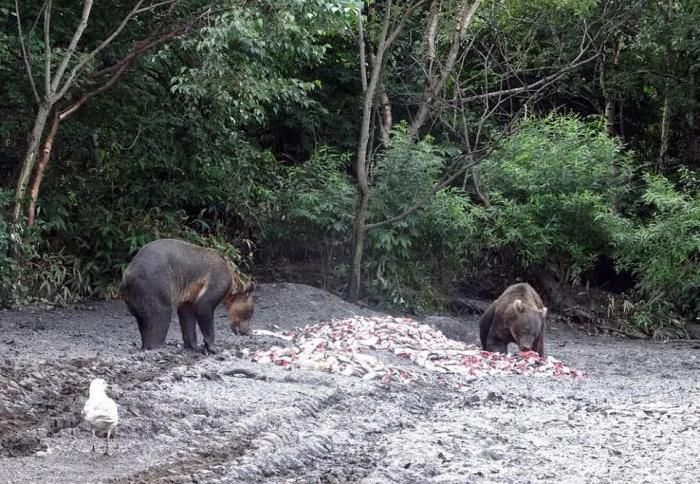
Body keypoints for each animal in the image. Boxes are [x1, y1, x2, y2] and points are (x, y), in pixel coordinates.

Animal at [121, 240, 256, 354]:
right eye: (249, 314)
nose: (247, 331)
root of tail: (127, 273)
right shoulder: (218, 279)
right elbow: (204, 306)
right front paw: (212, 347)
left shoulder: (189, 293)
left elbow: (187, 316)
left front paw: (195, 346)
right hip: (155, 285)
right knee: (160, 317)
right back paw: (154, 347)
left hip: (134, 297)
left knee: (143, 321)